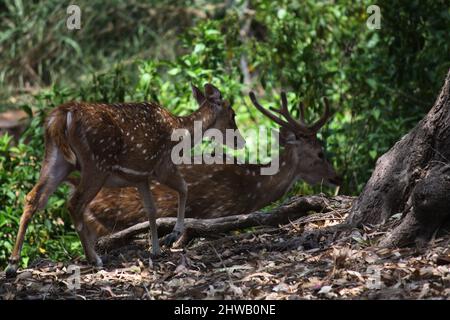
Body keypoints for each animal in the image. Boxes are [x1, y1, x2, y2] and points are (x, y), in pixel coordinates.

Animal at [5, 84, 244, 276]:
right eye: (232, 113)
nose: (240, 142)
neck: (181, 134)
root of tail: (61, 116)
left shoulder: (140, 177)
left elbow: (151, 210)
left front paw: (156, 250)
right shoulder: (162, 165)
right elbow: (184, 188)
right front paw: (172, 236)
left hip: (57, 159)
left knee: (32, 197)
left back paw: (12, 264)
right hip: (96, 163)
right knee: (74, 203)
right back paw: (94, 258)